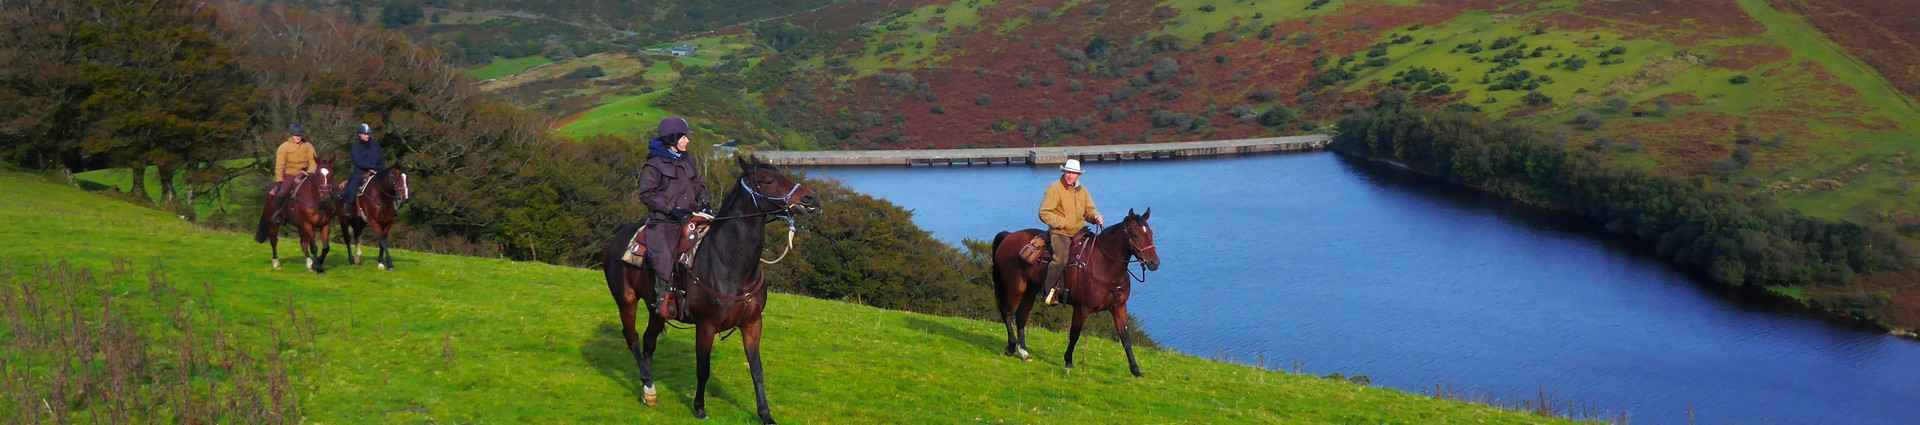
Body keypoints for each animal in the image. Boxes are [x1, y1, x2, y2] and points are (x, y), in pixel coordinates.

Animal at [595, 155, 814, 425]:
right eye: (767, 179)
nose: (809, 198)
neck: (728, 262)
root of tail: (616, 238)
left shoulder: (753, 323)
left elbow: (757, 369)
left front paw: (765, 414)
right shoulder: (706, 325)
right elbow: (703, 368)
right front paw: (699, 407)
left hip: (657, 310)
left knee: (648, 341)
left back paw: (650, 388)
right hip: (626, 301)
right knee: (632, 338)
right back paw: (648, 388)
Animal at [998, 208, 1159, 375]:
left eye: (1150, 233)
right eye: (1135, 235)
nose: (1154, 263)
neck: (1104, 266)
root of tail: (1009, 236)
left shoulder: (1118, 307)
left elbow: (1125, 337)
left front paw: (1135, 369)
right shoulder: (1082, 308)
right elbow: (1074, 334)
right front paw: (1068, 361)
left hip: (1030, 290)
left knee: (1021, 316)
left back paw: (1024, 352)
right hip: (1015, 287)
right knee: (1007, 313)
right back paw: (1011, 347)